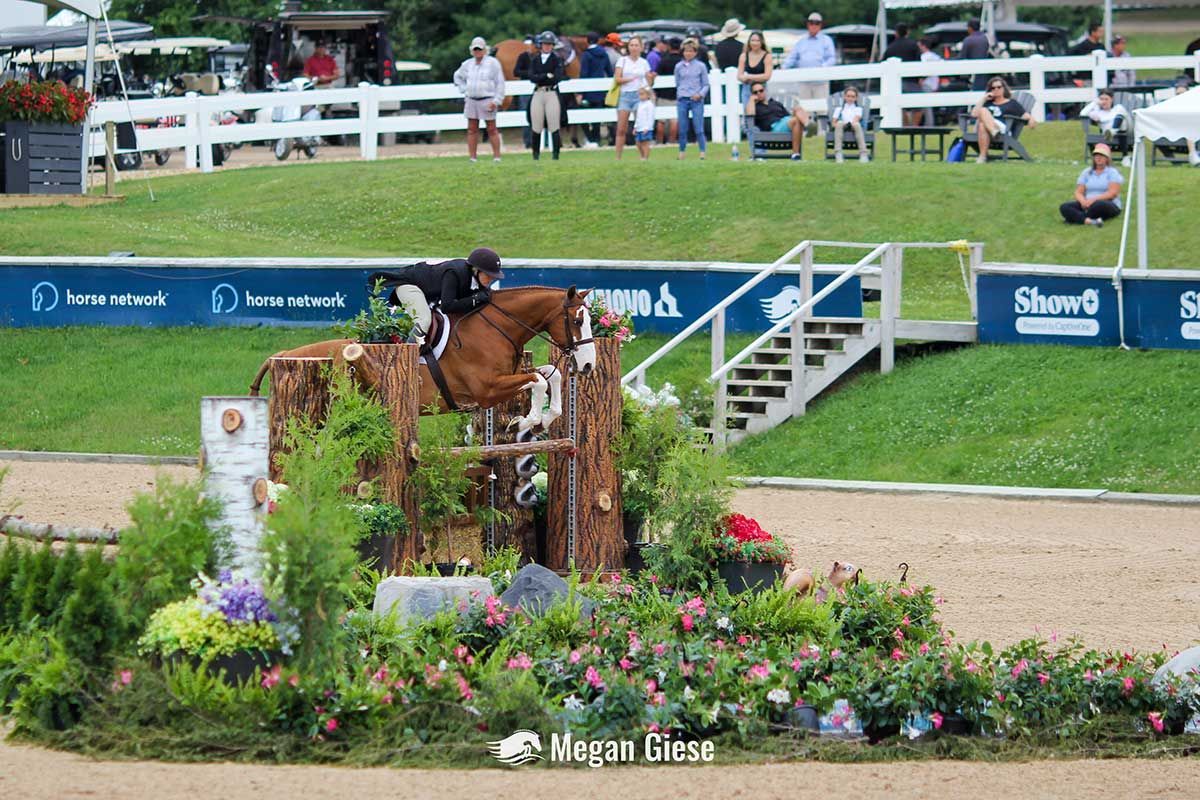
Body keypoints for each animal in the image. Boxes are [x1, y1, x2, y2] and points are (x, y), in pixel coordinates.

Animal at [248, 283, 595, 429]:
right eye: (578, 320)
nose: (589, 365)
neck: (494, 327)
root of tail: (285, 354)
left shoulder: (507, 377)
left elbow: (552, 374)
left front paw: (546, 418)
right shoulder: (487, 390)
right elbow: (538, 380)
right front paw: (528, 420)